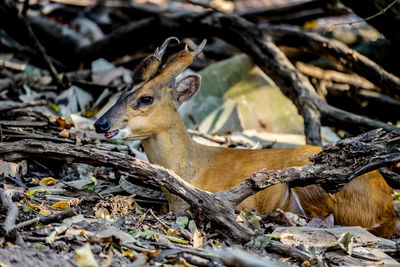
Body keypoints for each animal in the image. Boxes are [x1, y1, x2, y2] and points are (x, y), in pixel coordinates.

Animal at [94, 37, 396, 239]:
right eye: (123, 91)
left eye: (145, 99)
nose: (100, 123)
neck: (192, 167)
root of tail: (388, 208)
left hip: (316, 185)